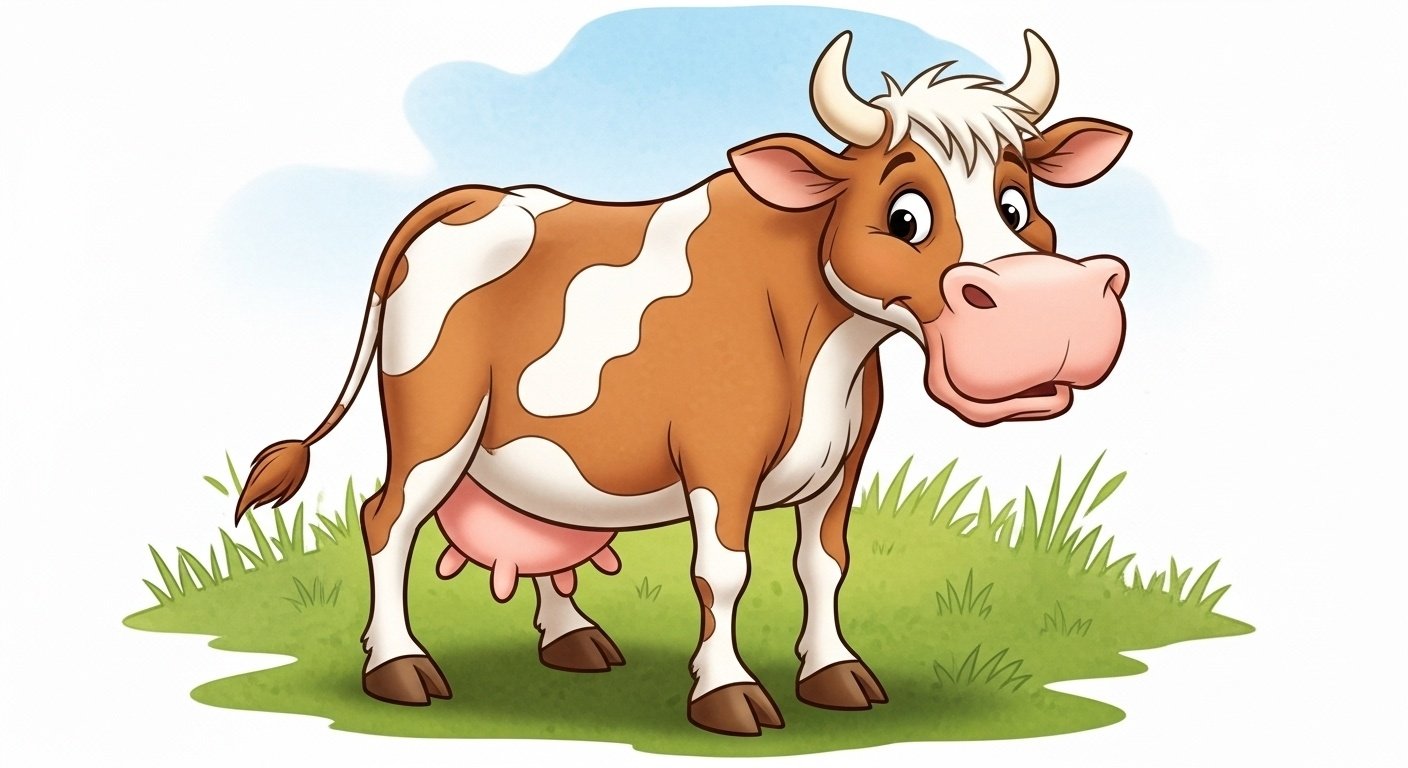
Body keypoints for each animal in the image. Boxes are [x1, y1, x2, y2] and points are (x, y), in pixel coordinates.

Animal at [235, 30, 1131, 736]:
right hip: (436, 421)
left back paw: (571, 639)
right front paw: (726, 692)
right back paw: (398, 667)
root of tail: (477, 198)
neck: (827, 344)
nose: (1046, 309)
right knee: (386, 520)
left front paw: (833, 673)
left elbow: (825, 563)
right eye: (904, 214)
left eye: (1017, 204)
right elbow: (723, 572)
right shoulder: (718, 456)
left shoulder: (845, 459)